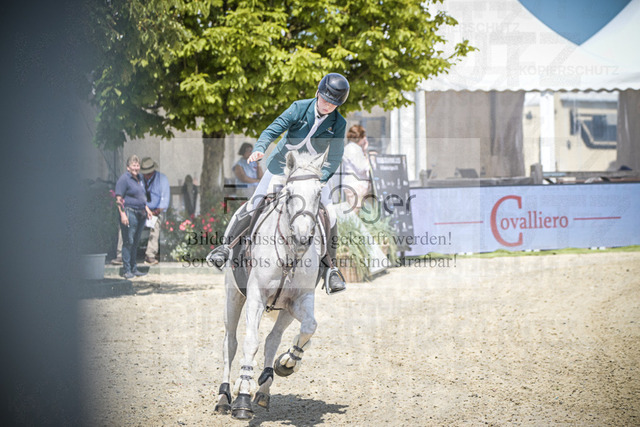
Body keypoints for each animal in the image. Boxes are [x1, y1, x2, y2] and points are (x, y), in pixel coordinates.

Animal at [213, 150, 330, 420]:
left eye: (318, 194)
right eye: (289, 193)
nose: (301, 238)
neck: (289, 253)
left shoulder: (299, 299)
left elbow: (310, 326)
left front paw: (288, 361)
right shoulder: (255, 296)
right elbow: (250, 343)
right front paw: (242, 399)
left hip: (284, 310)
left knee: (273, 338)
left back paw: (265, 387)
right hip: (233, 296)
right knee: (230, 343)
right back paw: (224, 397)